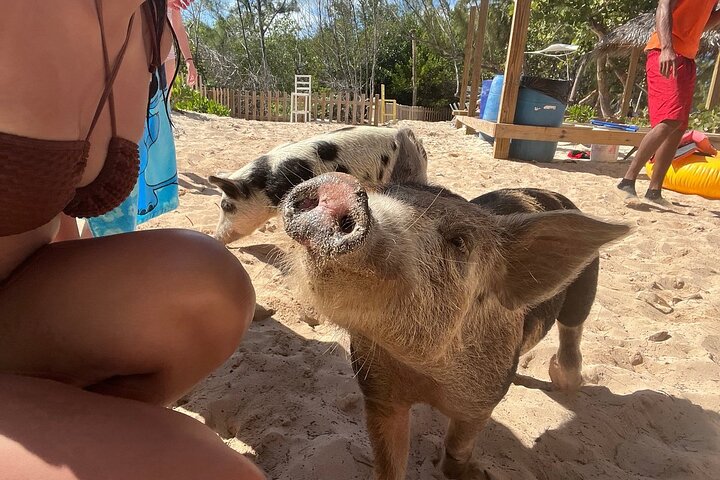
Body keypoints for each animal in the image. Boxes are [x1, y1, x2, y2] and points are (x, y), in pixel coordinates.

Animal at [280, 173, 630, 480]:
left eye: (459, 241)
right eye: (382, 193)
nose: (337, 185)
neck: (422, 371)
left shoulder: (482, 401)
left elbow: (458, 443)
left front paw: (482, 474)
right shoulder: (378, 393)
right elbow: (389, 460)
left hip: (585, 285)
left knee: (572, 329)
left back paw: (566, 384)